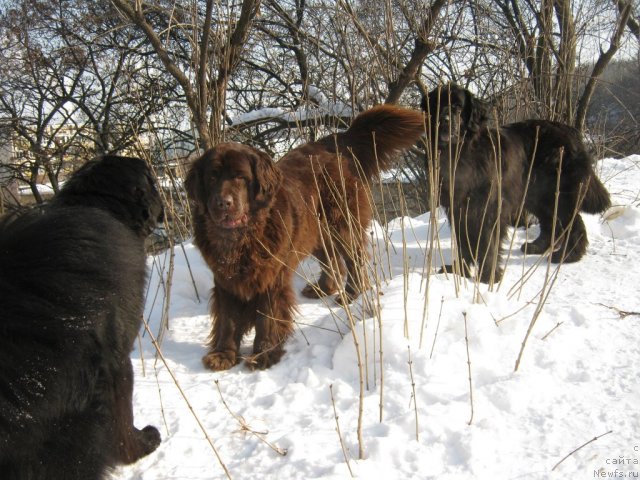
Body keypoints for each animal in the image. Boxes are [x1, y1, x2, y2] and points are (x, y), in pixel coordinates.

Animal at [185, 105, 424, 370]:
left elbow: (267, 317)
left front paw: (264, 354)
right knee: (331, 259)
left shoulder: (272, 276)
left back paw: (351, 293)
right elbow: (228, 319)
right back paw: (323, 288)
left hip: (341, 223)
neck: (243, 238)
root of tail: (334, 142)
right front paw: (223, 354)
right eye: (212, 177)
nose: (223, 203)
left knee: (353, 259)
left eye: (241, 177)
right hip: (313, 230)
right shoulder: (225, 277)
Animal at [422, 84, 612, 284]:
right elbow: (463, 242)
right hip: (536, 193)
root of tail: (571, 131)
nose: (444, 120)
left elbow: (488, 243)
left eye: (458, 107)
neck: (460, 152)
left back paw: (567, 256)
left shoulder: (489, 207)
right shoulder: (458, 208)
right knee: (550, 221)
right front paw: (458, 272)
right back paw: (538, 247)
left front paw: (488, 277)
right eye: (436, 105)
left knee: (574, 224)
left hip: (558, 193)